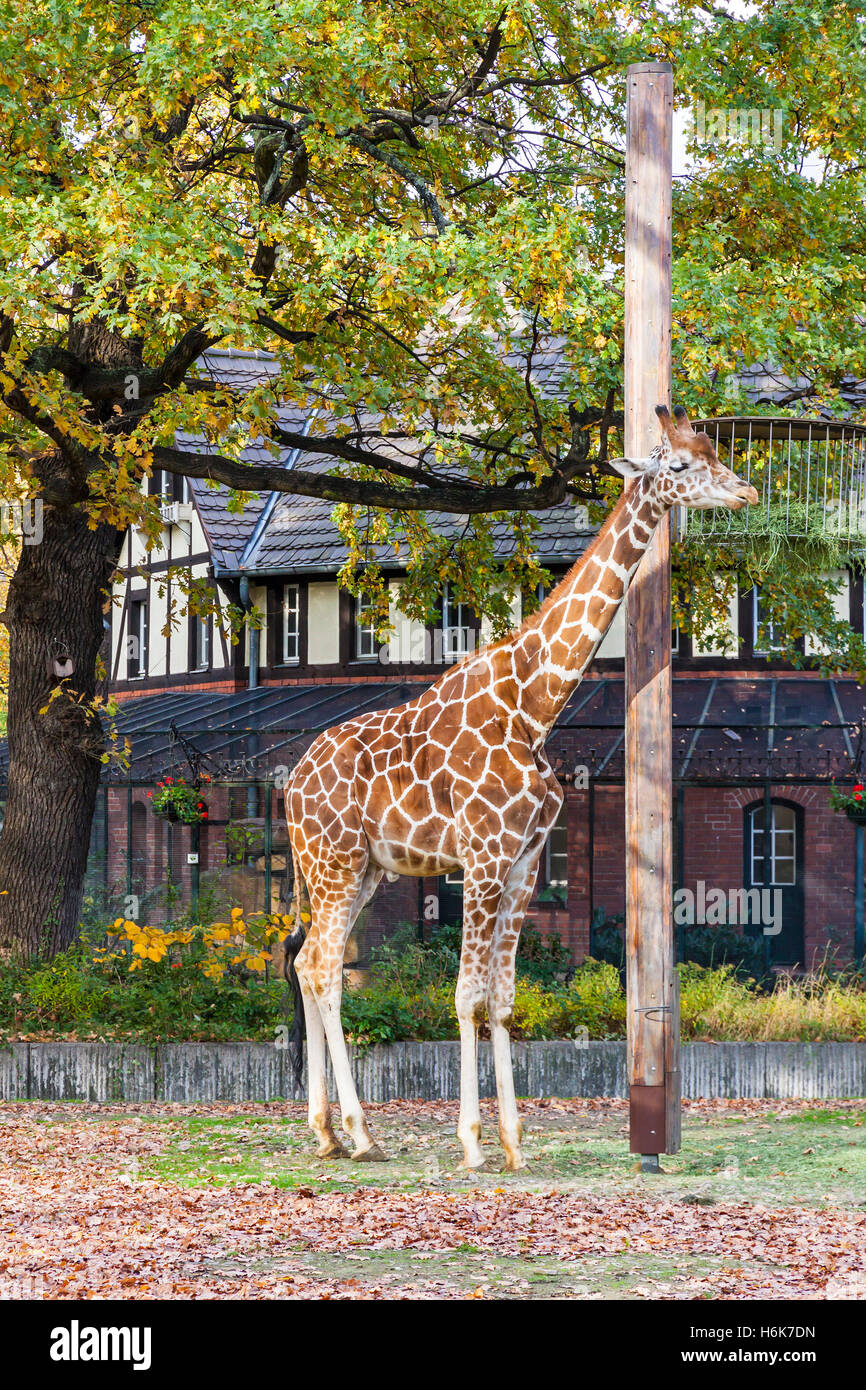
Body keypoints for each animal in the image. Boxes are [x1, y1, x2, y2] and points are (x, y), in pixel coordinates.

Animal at [286, 405, 756, 1167]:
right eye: (683, 464)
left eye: (716, 452)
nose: (745, 490)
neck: (536, 703)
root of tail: (290, 784)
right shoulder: (481, 859)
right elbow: (465, 995)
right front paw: (473, 1143)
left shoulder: (524, 864)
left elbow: (502, 999)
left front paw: (513, 1142)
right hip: (335, 861)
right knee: (326, 966)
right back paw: (358, 1131)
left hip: (363, 870)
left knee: (306, 963)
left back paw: (329, 1131)